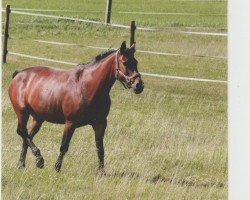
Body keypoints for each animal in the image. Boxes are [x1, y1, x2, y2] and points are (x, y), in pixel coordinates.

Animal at [8, 41, 145, 174]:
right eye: (125, 62)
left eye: (136, 62)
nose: (139, 86)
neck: (86, 86)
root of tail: (19, 74)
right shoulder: (70, 123)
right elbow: (64, 146)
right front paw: (57, 168)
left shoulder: (100, 123)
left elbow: (100, 148)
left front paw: (101, 172)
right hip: (22, 112)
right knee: (22, 132)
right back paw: (39, 159)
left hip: (38, 118)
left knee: (27, 136)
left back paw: (22, 164)